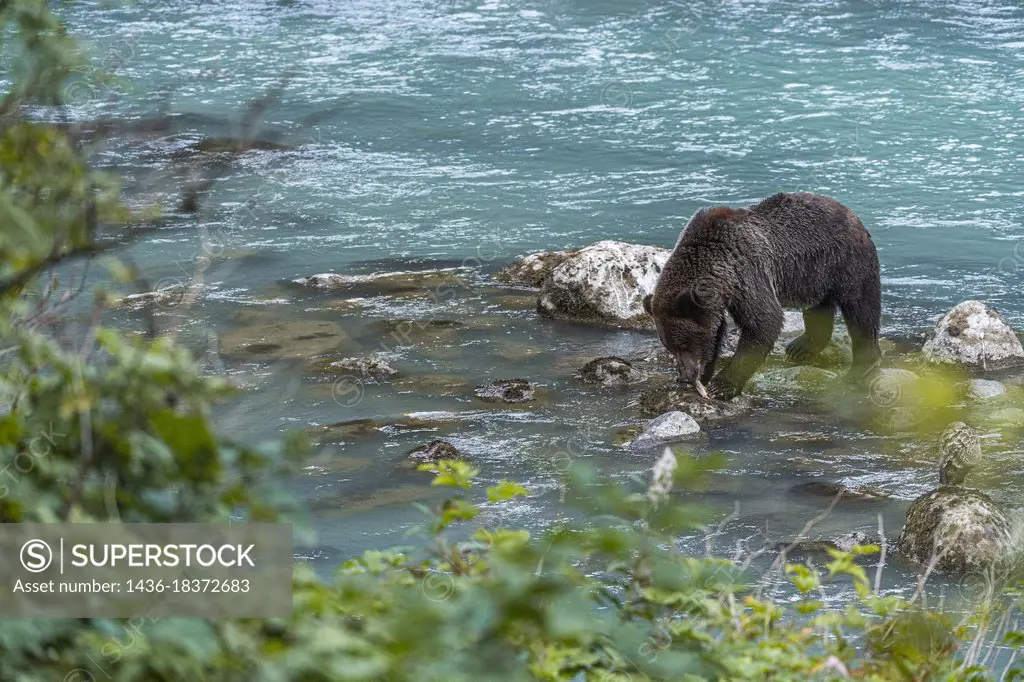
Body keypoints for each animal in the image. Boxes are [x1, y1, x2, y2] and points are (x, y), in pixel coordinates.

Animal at [647, 189, 880, 399]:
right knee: (819, 307)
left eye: (684, 344)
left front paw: (722, 385)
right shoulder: (720, 297)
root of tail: (851, 214)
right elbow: (717, 331)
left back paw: (862, 366)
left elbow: (764, 321)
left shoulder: (747, 273)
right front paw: (704, 375)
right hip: (814, 273)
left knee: (861, 308)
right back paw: (802, 347)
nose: (685, 376)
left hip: (847, 260)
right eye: (670, 347)